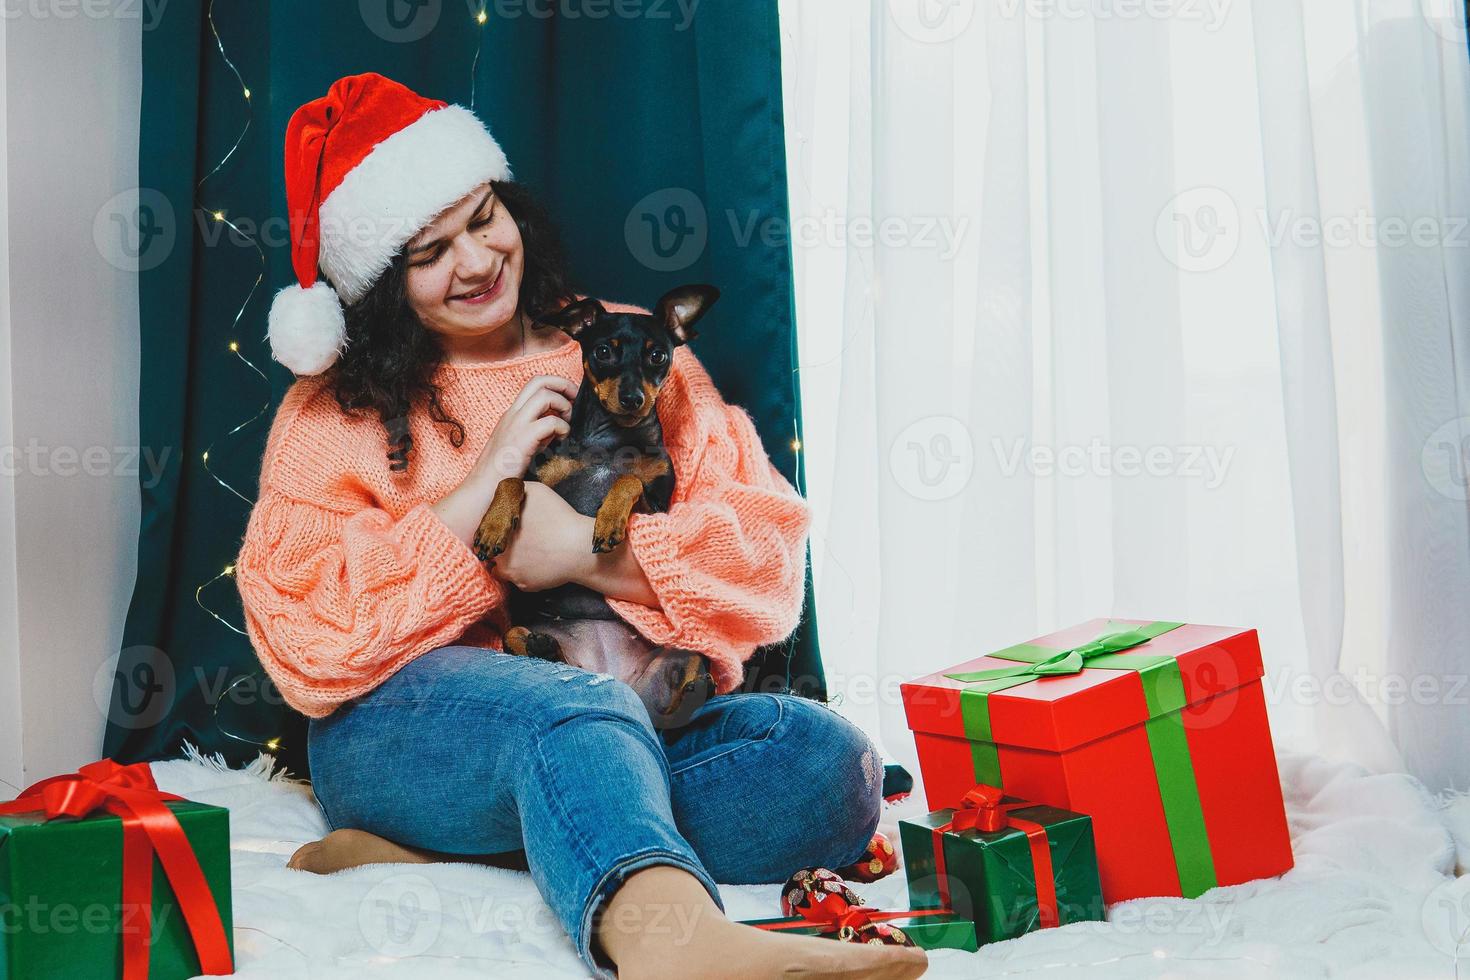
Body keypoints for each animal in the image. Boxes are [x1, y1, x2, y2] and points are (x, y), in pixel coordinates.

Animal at [473, 283, 720, 728]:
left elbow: (629, 479)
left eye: (658, 355)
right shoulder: (541, 477)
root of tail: (615, 678)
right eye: (604, 351)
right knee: (528, 643)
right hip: (522, 635)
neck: (611, 441)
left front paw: (608, 522)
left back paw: (695, 690)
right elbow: (510, 479)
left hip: (686, 655)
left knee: (681, 697)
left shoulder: (657, 506)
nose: (632, 397)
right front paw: (494, 525)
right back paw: (544, 648)